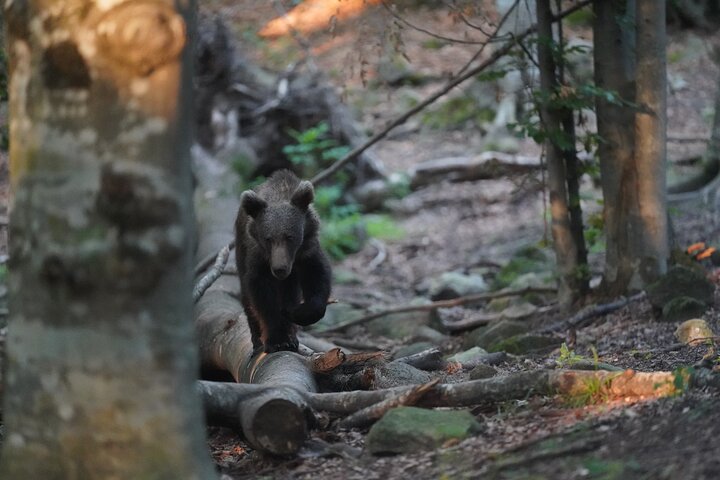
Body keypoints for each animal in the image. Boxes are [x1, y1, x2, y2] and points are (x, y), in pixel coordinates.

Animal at [234, 169, 332, 353]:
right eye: (268, 238)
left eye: (290, 237)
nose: (280, 269)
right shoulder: (258, 259)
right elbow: (262, 298)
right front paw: (277, 340)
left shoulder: (307, 250)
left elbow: (318, 276)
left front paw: (296, 313)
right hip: (240, 252)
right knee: (246, 297)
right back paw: (258, 341)